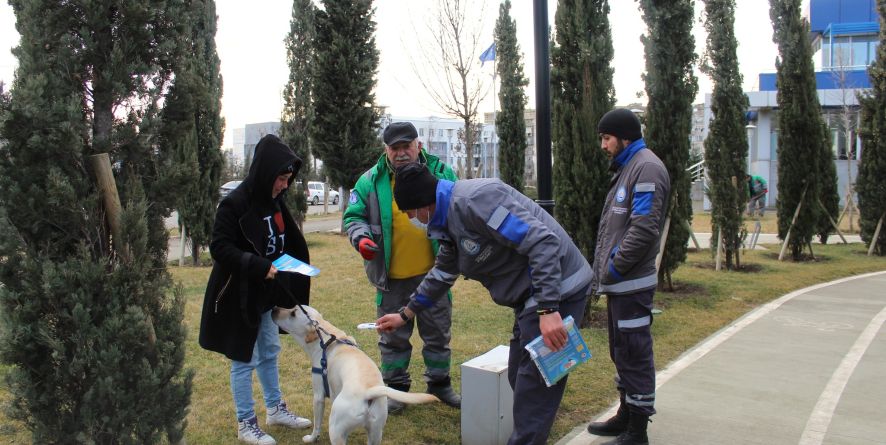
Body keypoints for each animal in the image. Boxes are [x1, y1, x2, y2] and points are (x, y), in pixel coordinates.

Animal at [270, 306, 438, 444]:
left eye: (293, 313)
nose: (274, 309)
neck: (326, 340)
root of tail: (368, 393)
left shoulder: (318, 396)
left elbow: (316, 424)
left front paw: (311, 438)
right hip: (375, 433)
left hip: (336, 429)